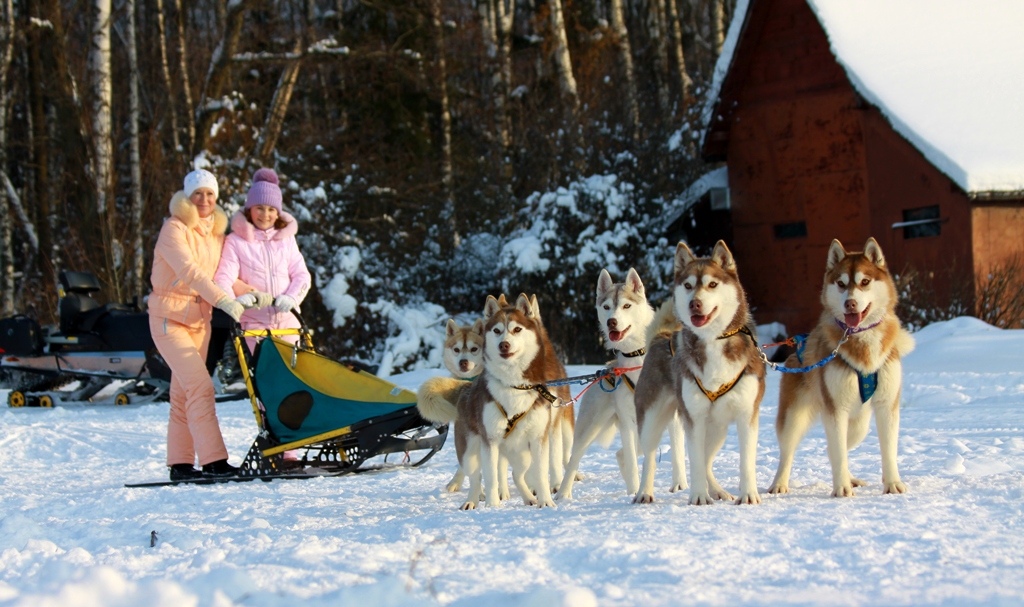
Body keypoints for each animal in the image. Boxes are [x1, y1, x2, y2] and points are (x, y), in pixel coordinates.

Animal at [456, 292, 569, 505]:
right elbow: (491, 478)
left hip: (522, 454)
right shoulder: (490, 441)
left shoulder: (538, 438)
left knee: (517, 475)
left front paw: (546, 502)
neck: (514, 385)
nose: (504, 344)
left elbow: (541, 474)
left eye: (517, 329)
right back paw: (471, 502)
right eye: (497, 330)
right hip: (469, 454)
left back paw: (530, 498)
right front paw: (493, 506)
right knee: (476, 477)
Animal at [557, 268, 684, 499]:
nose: (612, 322)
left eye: (626, 305)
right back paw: (562, 493)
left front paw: (680, 485)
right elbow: (634, 464)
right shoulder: (626, 422)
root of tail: (606, 369)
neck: (637, 358)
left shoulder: (674, 415)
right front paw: (634, 489)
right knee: (574, 460)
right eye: (607, 307)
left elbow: (677, 452)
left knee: (621, 454)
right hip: (591, 428)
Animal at [634, 239, 765, 503]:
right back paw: (644, 492)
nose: (694, 303)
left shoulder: (747, 414)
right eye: (688, 285)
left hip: (717, 428)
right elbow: (693, 462)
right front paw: (698, 497)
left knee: (706, 461)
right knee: (651, 457)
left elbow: (745, 462)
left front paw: (748, 495)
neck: (713, 340)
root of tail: (661, 337)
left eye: (712, 284)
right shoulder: (693, 417)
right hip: (653, 418)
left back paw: (716, 490)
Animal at [770, 236, 913, 497]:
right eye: (841, 283)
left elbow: (888, 451)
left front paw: (892, 483)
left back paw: (851, 477)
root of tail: (798, 343)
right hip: (794, 417)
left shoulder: (887, 405)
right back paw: (779, 484)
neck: (861, 342)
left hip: (858, 425)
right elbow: (836, 454)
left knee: (838, 448)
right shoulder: (835, 409)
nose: (850, 303)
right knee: (790, 451)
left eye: (865, 281)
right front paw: (841, 488)